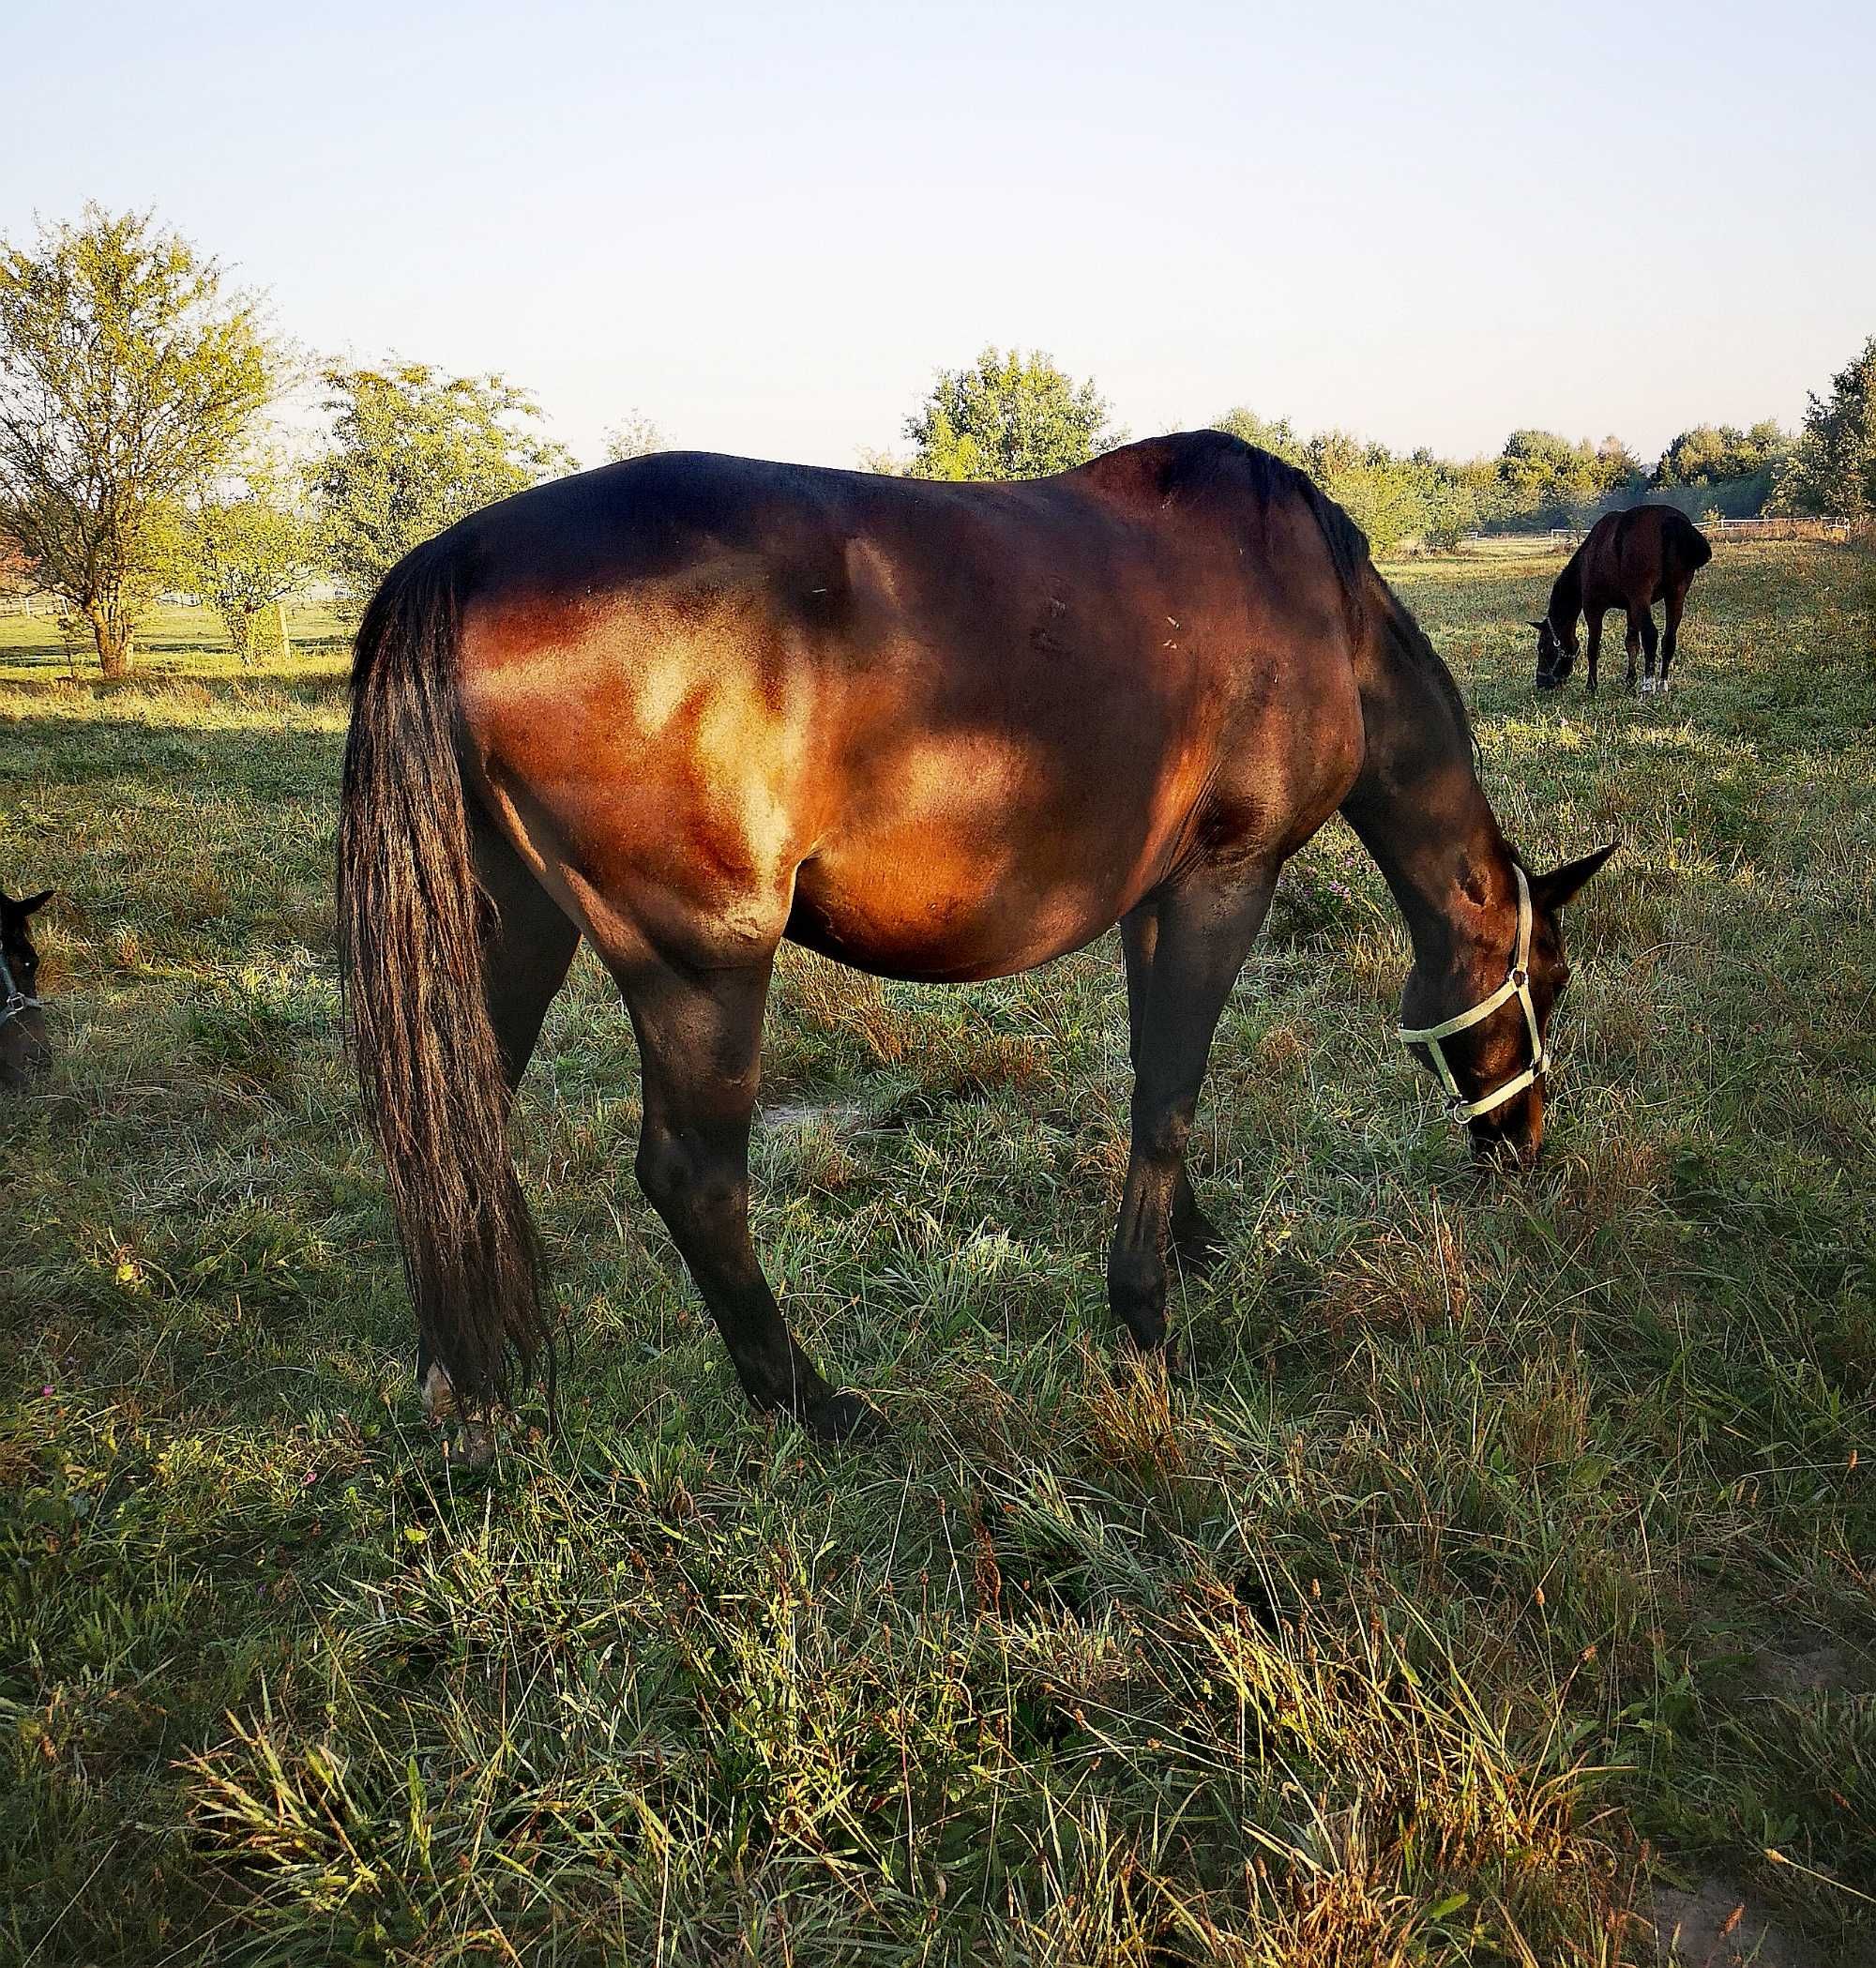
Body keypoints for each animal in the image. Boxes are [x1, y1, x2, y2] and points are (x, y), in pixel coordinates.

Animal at [336, 438, 1613, 1456]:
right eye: (1546, 980)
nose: (1521, 1148)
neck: (1315, 609)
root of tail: (458, 559)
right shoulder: (1222, 881)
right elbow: (1172, 1090)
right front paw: (1145, 1316)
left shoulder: (1155, 899)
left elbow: (1156, 1084)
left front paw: (1187, 1241)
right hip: (698, 964)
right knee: (689, 1177)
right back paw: (811, 1399)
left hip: (508, 934)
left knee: (454, 1135)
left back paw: (461, 1391)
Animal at [1527, 504, 1708, 696]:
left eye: (1542, 647)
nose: (1542, 682)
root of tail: (1670, 520)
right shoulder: (1631, 607)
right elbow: (1632, 643)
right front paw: (1630, 681)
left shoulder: (1593, 607)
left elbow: (1593, 647)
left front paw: (1591, 685)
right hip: (1676, 595)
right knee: (1669, 639)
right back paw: (1662, 685)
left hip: (1642, 597)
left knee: (1651, 635)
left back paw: (1648, 686)